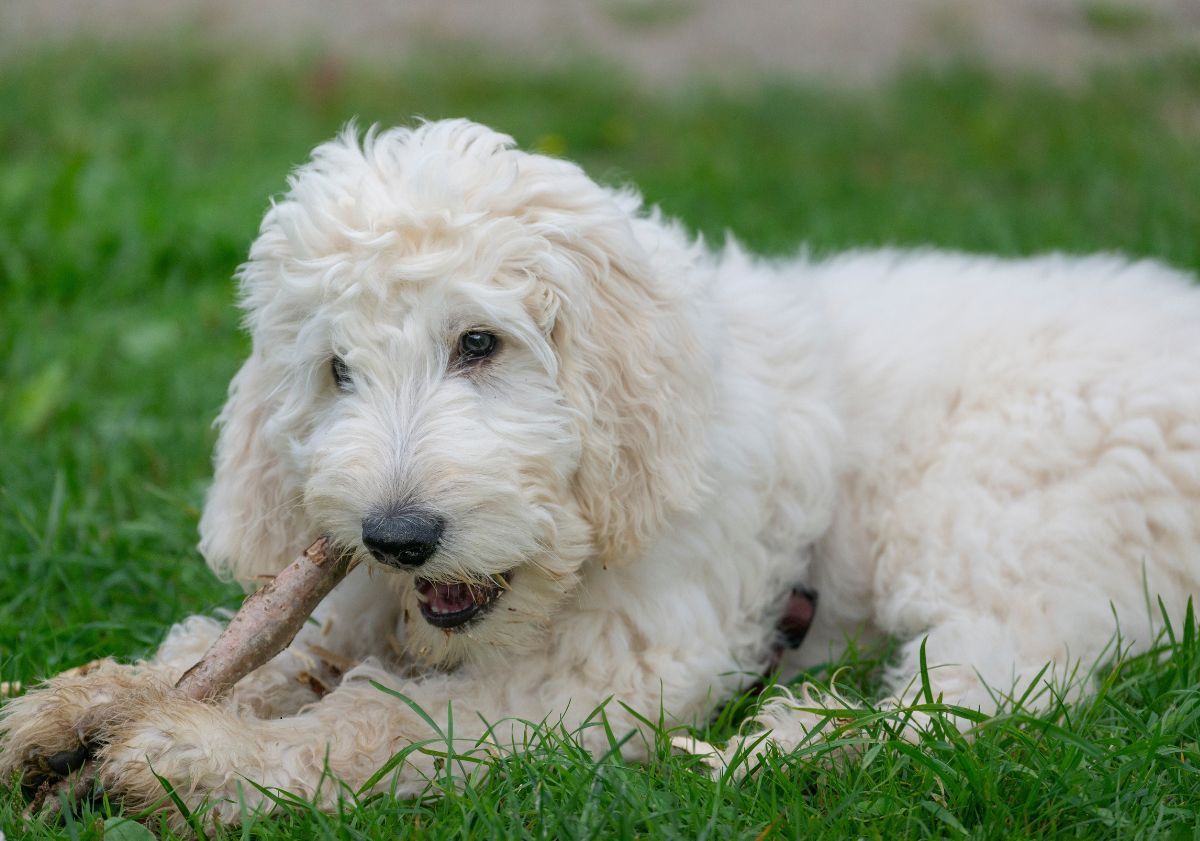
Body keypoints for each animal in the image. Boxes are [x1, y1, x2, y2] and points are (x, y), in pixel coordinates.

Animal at [2, 118, 1200, 820]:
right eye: (338, 369)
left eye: (479, 344)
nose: (397, 536)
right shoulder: (347, 600)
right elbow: (234, 649)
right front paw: (69, 704)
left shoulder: (614, 668)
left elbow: (383, 719)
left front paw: (196, 753)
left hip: (1002, 513)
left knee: (998, 689)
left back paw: (797, 748)